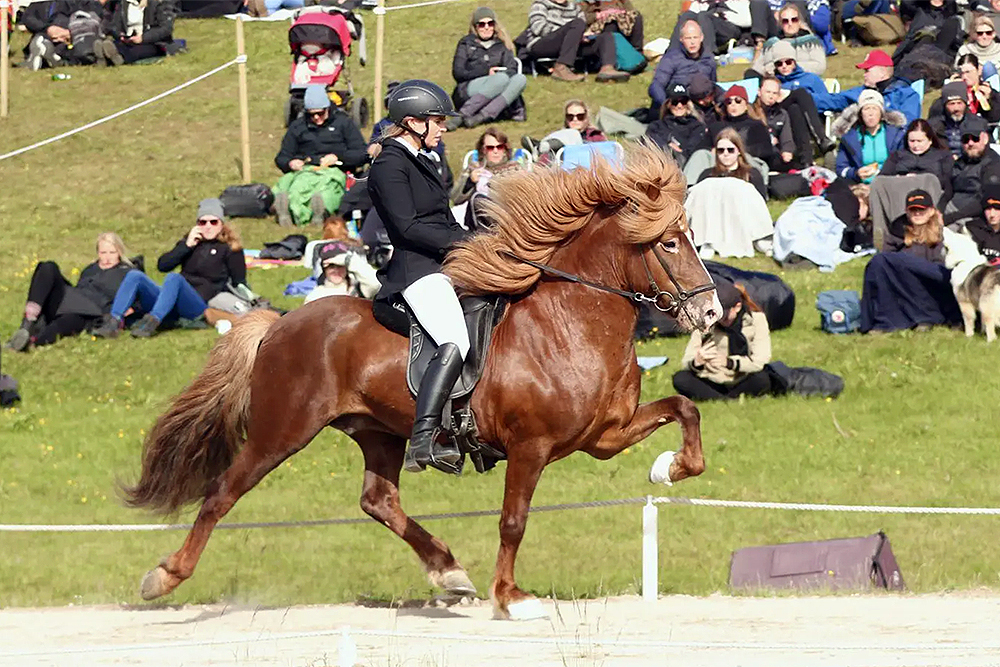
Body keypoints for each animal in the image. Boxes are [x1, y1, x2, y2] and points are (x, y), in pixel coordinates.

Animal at [127, 145, 720, 620]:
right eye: (669, 244)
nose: (711, 312)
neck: (569, 321)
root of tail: (278, 323)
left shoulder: (604, 436)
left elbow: (685, 408)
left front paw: (669, 468)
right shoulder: (531, 447)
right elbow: (513, 520)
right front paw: (512, 598)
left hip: (378, 431)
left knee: (378, 502)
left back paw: (448, 571)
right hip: (283, 430)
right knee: (222, 492)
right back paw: (164, 576)